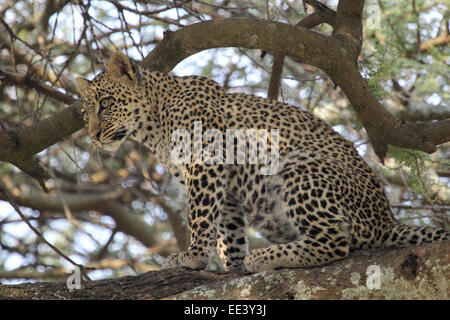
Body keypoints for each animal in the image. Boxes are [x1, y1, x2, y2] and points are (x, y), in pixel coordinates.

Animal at [75, 52, 448, 272]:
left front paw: (193, 256)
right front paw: (232, 265)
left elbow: (199, 216)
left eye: (106, 104)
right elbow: (227, 229)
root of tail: (387, 219)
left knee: (334, 241)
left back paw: (266, 257)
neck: (153, 126)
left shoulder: (205, 164)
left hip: (299, 166)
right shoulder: (223, 183)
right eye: (84, 113)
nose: (93, 136)